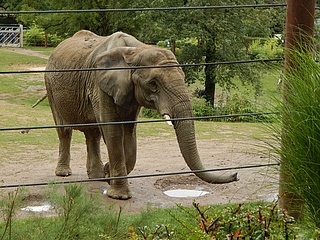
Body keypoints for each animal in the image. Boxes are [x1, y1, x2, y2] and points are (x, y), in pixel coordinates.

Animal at [43, 30, 236, 201]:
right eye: (153, 84)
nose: (235, 174)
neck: (136, 51)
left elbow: (129, 133)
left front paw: (107, 173)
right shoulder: (99, 84)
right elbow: (113, 131)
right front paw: (119, 195)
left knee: (93, 133)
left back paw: (97, 176)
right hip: (50, 85)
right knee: (64, 131)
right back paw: (64, 173)